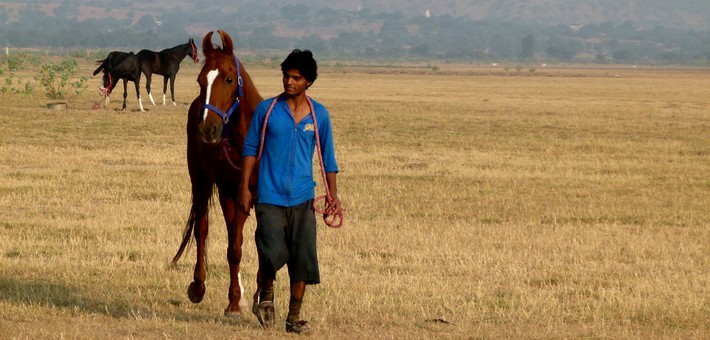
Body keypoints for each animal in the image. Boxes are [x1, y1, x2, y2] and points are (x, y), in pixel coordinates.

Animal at [172, 30, 264, 318]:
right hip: (200, 181)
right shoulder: (231, 195)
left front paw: (257, 297)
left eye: (229, 78)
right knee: (201, 230)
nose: (208, 129)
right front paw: (235, 301)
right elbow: (234, 248)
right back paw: (198, 286)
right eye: (200, 80)